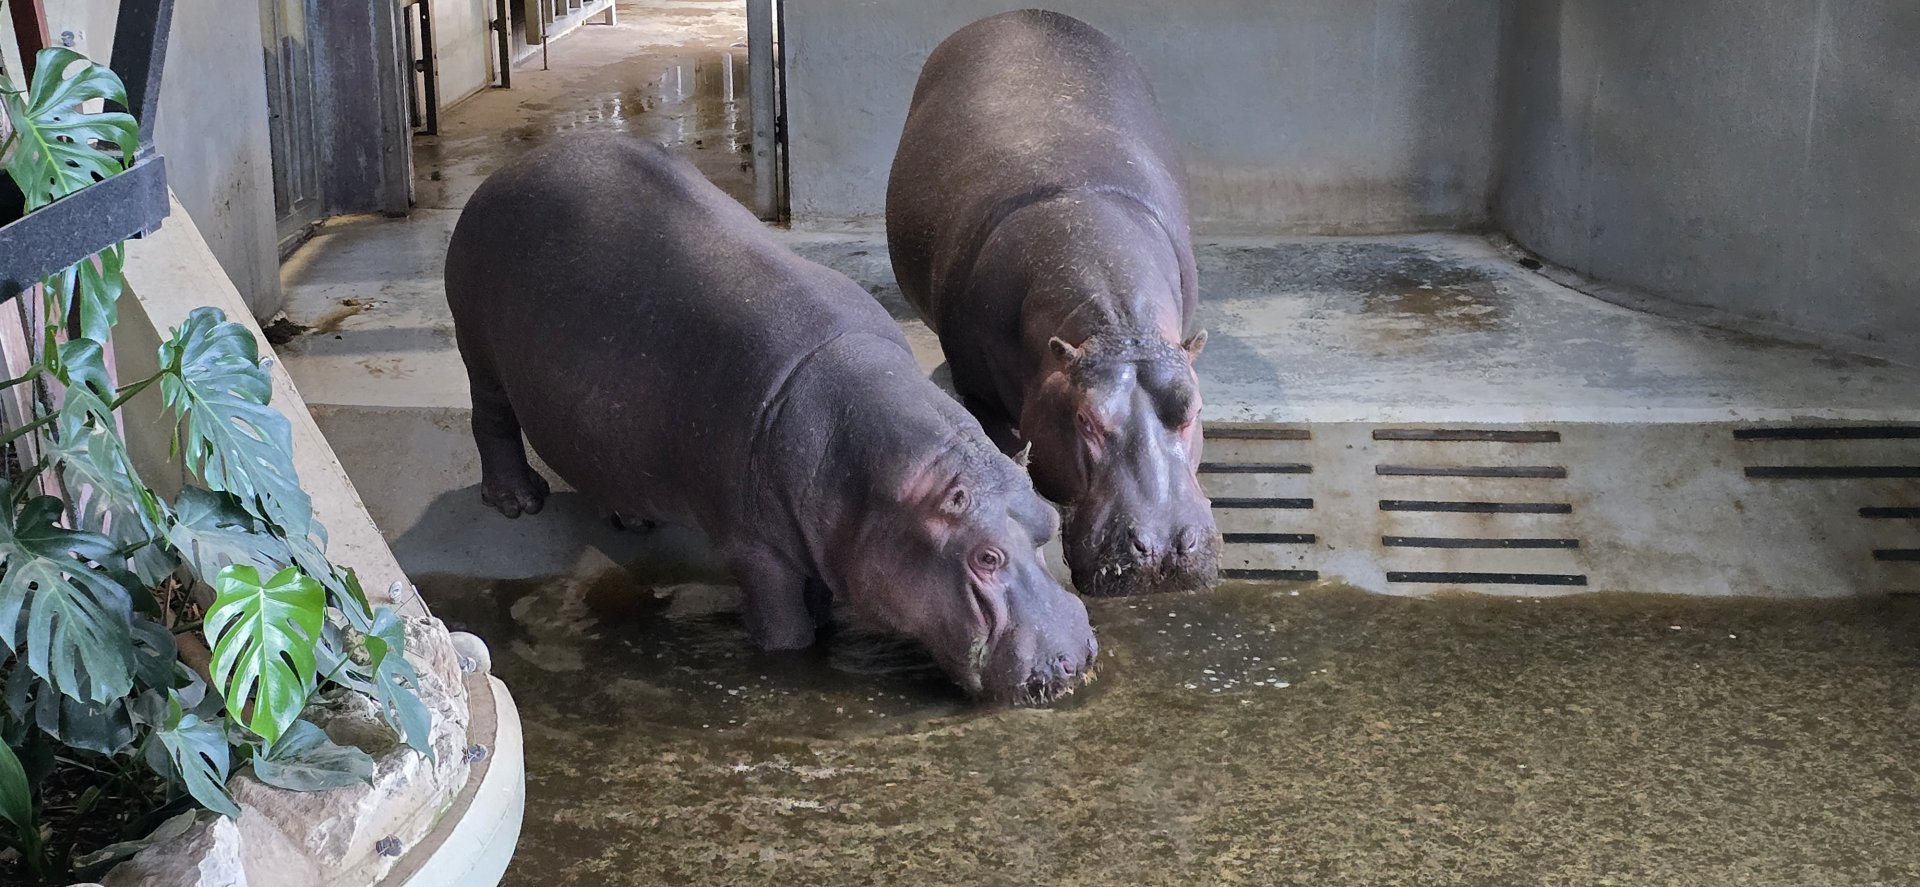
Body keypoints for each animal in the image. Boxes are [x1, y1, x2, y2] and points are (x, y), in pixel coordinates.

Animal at [445, 135, 1095, 705]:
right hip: (478, 350)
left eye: (1047, 523)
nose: (1074, 660)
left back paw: (631, 519)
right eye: (985, 558)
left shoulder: (825, 535)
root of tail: (511, 168)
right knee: (491, 418)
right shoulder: (753, 547)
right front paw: (794, 663)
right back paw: (518, 502)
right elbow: (786, 630)